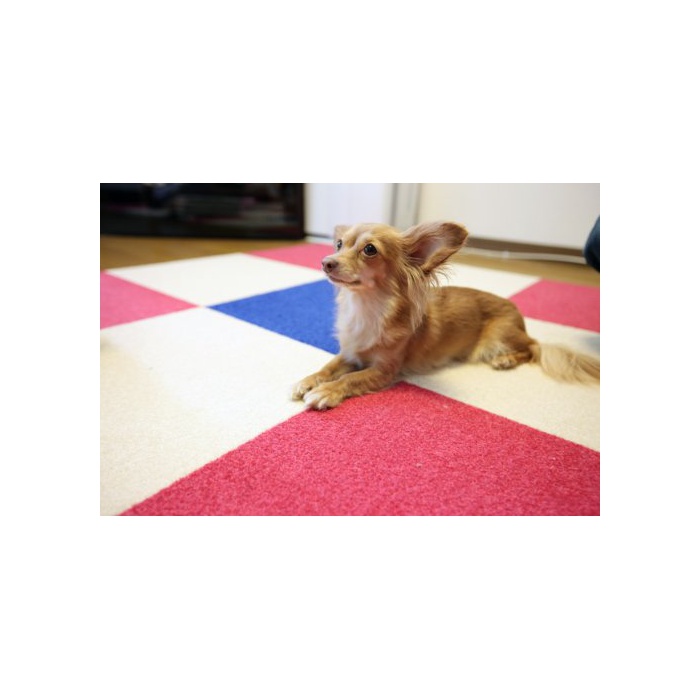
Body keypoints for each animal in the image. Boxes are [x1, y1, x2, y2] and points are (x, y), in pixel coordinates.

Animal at [292, 221, 599, 410]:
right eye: (339, 245)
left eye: (370, 250)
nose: (326, 262)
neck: (366, 308)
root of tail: (520, 319)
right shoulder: (350, 353)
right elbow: (329, 366)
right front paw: (308, 381)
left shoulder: (384, 370)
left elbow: (350, 379)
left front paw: (326, 391)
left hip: (497, 337)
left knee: (532, 348)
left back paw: (507, 359)